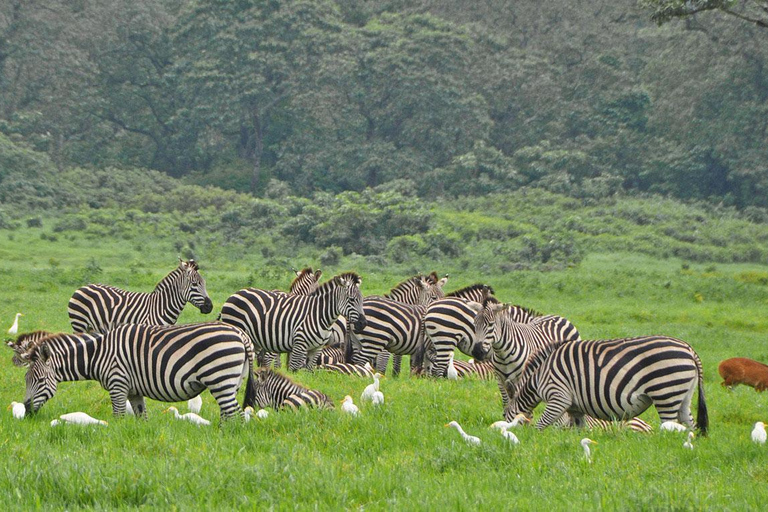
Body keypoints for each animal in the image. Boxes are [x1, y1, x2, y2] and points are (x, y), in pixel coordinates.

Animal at [21, 324, 252, 420]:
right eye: (26, 380)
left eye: (40, 380)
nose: (27, 409)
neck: (99, 354)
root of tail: (240, 333)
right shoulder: (133, 391)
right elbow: (142, 418)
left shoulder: (117, 384)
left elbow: (118, 417)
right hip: (231, 382)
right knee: (230, 413)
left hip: (220, 378)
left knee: (236, 414)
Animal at [67, 258, 213, 334]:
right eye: (194, 284)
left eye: (205, 283)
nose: (210, 307)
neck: (160, 307)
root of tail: (83, 287)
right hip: (79, 324)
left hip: (92, 328)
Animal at [220, 272, 368, 372]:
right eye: (351, 299)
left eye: (361, 299)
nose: (363, 323)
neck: (318, 315)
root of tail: (235, 294)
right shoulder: (298, 346)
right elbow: (293, 369)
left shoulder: (316, 349)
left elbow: (308, 372)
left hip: (254, 340)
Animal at [504, 336, 708, 436]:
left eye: (505, 417)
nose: (502, 433)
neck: (539, 376)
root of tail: (689, 349)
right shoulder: (575, 408)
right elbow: (579, 431)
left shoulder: (559, 397)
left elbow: (540, 426)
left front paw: (532, 442)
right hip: (683, 395)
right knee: (690, 426)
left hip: (665, 392)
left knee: (670, 426)